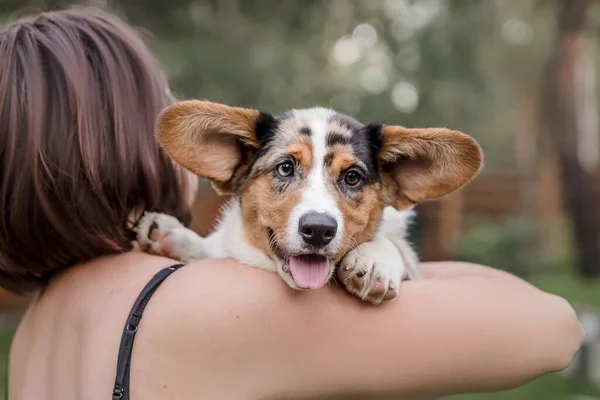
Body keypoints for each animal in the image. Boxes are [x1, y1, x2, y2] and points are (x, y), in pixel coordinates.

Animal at [135, 100, 482, 304]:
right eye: (285, 167)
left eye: (352, 177)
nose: (318, 230)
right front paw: (173, 235)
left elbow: (392, 244)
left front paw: (374, 260)